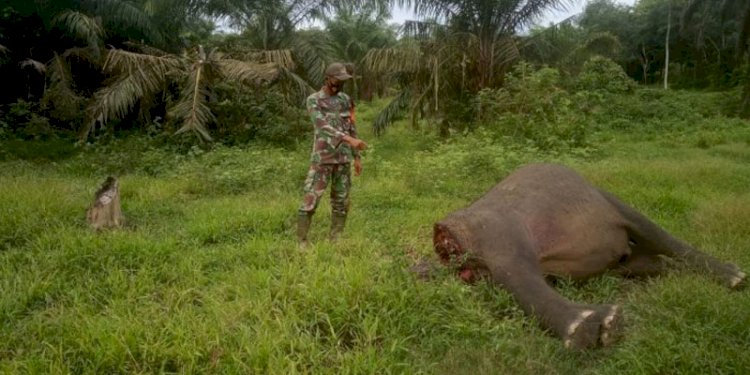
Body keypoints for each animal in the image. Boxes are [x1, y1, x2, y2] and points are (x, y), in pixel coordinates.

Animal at [432, 163, 748, 352]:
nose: (439, 230)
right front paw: (607, 324)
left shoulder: (501, 237)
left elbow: (519, 276)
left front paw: (601, 326)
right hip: (623, 260)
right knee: (653, 263)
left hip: (616, 205)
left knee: (661, 237)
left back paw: (737, 278)